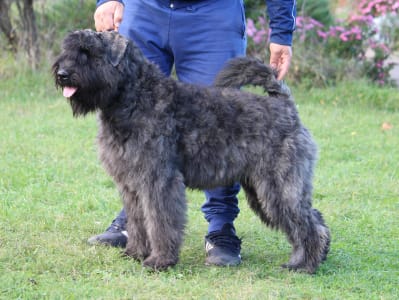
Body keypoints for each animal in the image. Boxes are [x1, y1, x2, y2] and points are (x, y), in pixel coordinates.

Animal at [52, 29, 332, 274]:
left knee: (307, 224)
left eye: (88, 52)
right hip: (264, 189)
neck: (134, 97)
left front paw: (160, 260)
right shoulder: (131, 184)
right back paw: (310, 257)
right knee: (313, 218)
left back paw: (304, 265)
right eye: (68, 49)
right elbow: (138, 220)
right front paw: (135, 252)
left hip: (277, 187)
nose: (63, 73)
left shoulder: (158, 181)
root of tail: (286, 106)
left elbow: (160, 221)